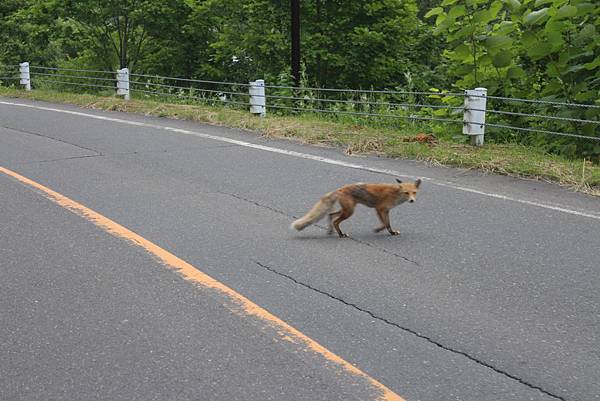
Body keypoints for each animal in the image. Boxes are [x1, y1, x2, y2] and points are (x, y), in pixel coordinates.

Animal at [292, 177, 422, 234]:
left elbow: (385, 224)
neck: (395, 194)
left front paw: (382, 230)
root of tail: (340, 189)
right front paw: (387, 232)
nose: (412, 200)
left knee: (330, 215)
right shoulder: (380, 208)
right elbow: (386, 224)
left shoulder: (384, 210)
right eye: (406, 193)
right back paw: (341, 234)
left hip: (346, 210)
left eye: (414, 192)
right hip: (349, 212)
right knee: (335, 221)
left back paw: (330, 231)